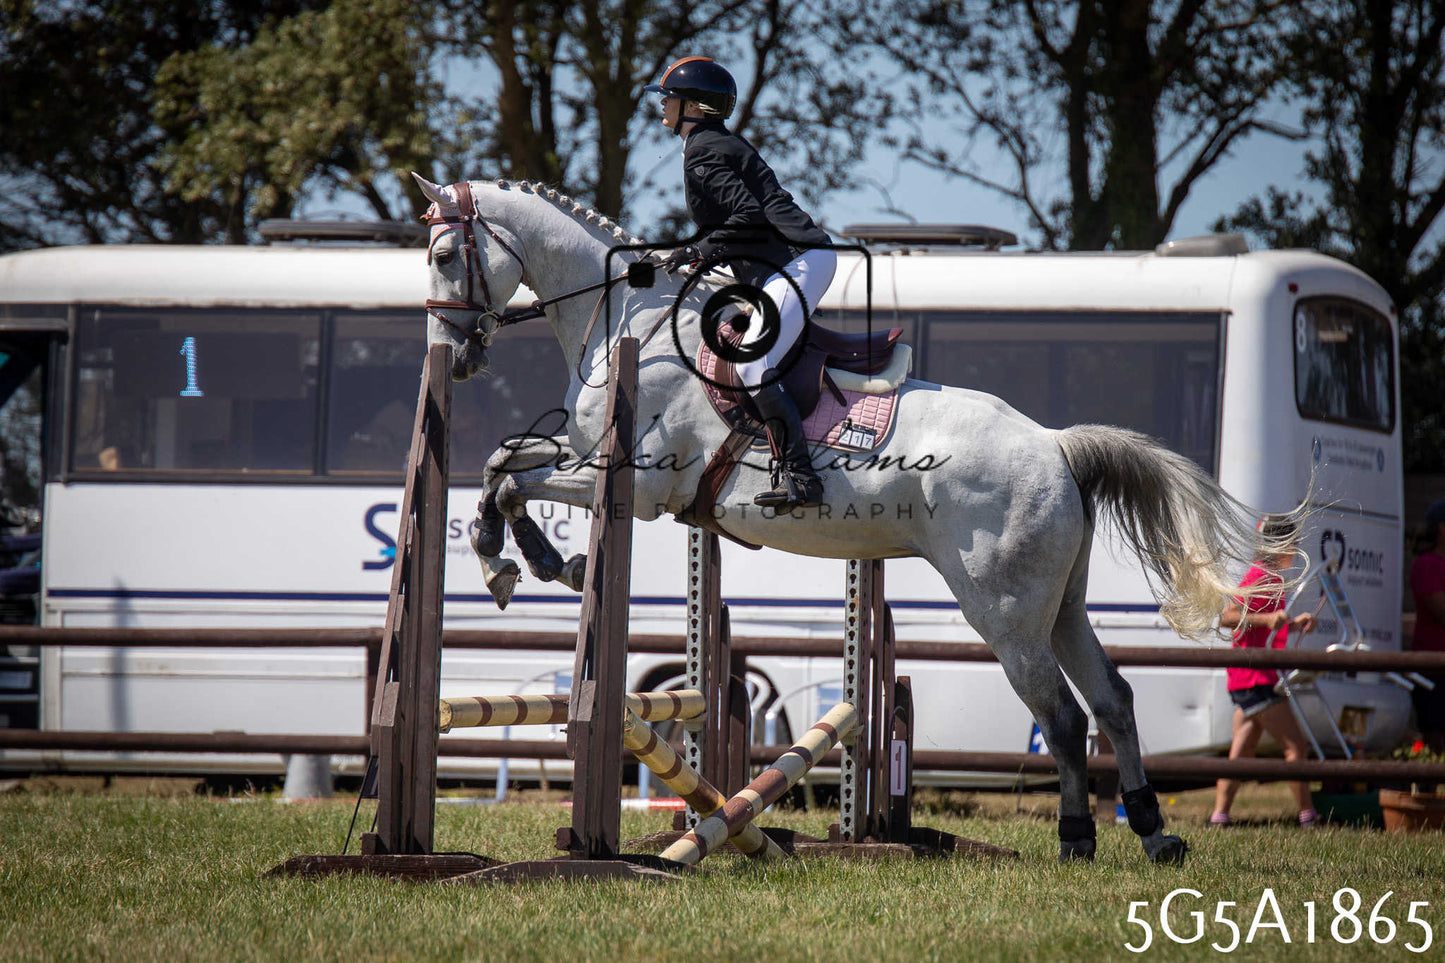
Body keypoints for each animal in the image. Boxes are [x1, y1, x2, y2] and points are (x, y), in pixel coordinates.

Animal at [413, 173, 1299, 864]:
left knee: (1060, 715)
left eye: (445, 255)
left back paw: (1077, 837)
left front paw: (521, 560)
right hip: (1062, 603)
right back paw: (1153, 833)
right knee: (1112, 698)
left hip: (1004, 610)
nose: (457, 354)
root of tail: (1054, 444)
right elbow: (502, 464)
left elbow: (510, 483)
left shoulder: (635, 483)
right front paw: (517, 558)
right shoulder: (586, 459)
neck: (632, 323)